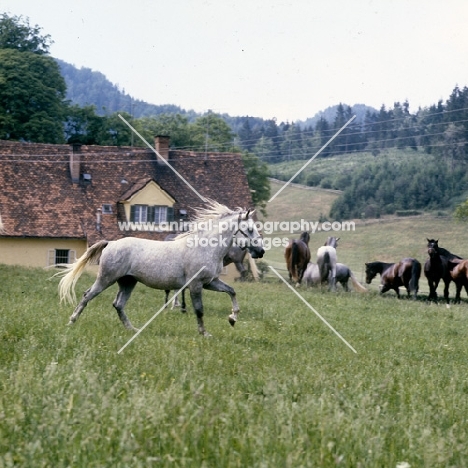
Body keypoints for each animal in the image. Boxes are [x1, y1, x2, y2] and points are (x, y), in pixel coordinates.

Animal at [55, 201, 264, 336]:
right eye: (250, 229)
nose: (260, 251)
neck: (205, 247)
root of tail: (111, 243)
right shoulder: (196, 284)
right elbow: (199, 310)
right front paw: (204, 333)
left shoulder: (210, 282)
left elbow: (232, 291)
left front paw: (232, 318)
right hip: (106, 279)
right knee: (87, 295)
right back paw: (71, 321)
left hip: (128, 282)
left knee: (118, 304)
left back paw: (133, 330)